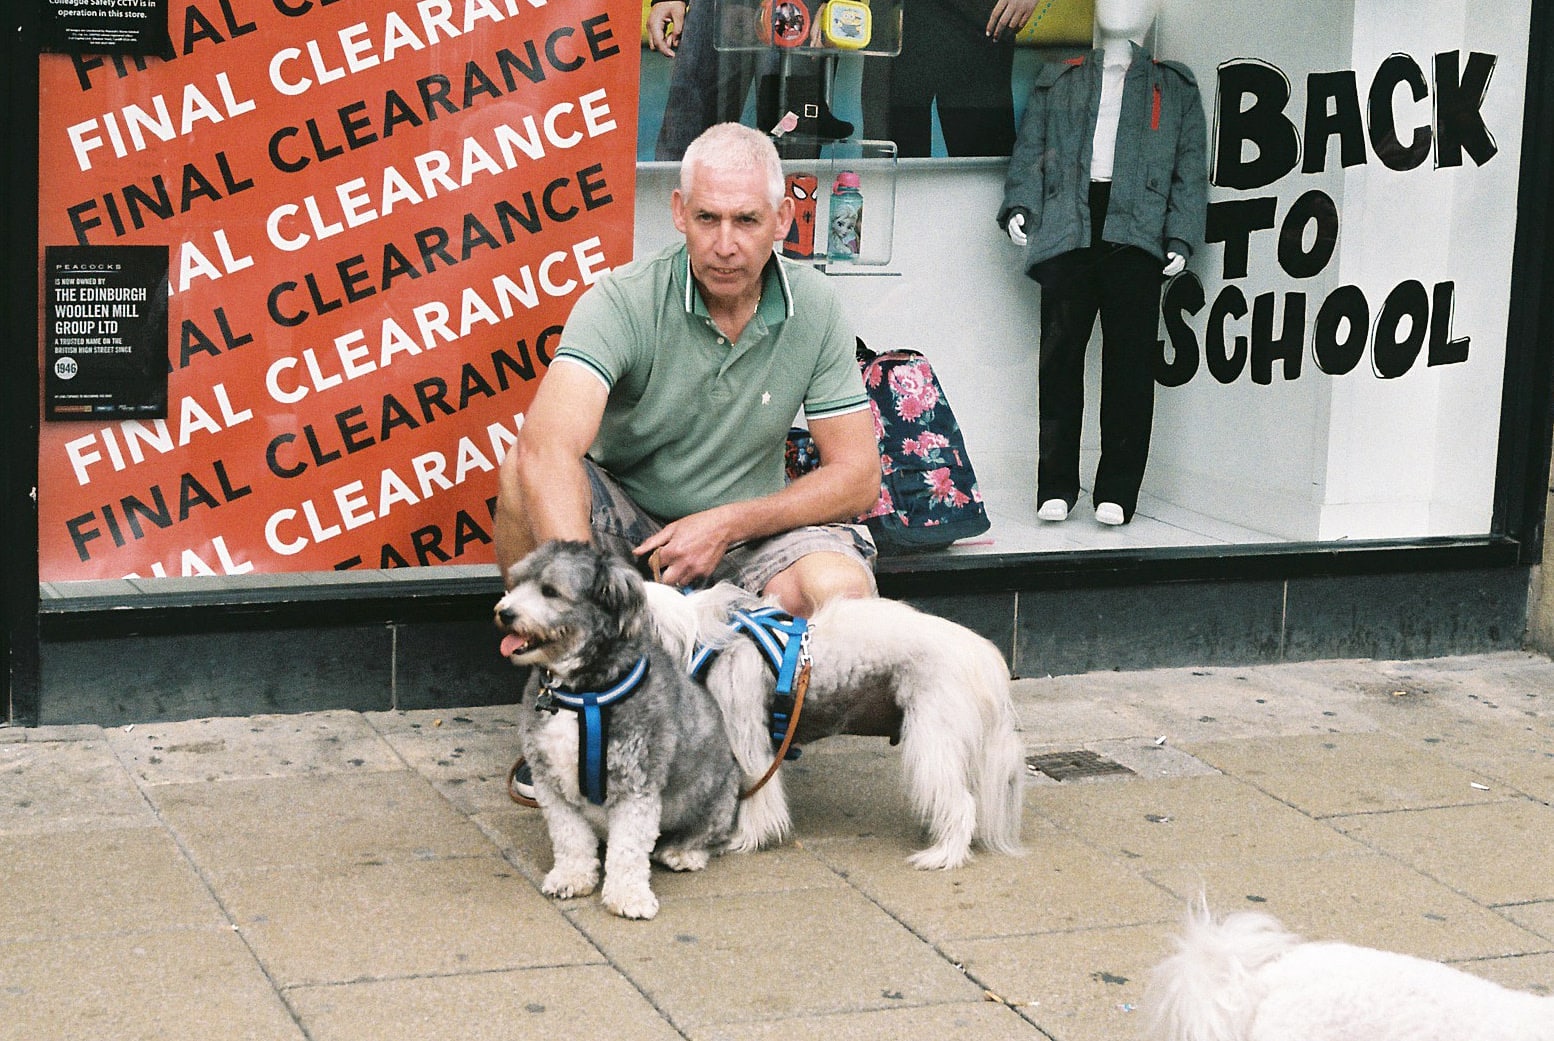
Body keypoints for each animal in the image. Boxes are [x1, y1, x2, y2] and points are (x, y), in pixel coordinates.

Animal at [497, 543, 739, 926]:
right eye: (516, 582)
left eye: (550, 591)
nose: (504, 613)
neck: (583, 693)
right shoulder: (551, 784)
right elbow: (570, 838)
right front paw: (572, 877)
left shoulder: (635, 786)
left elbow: (628, 850)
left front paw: (628, 897)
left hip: (716, 799)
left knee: (708, 836)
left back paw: (684, 852)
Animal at [640, 587, 1019, 870]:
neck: (696, 638)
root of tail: (984, 657)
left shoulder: (747, 740)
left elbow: (756, 793)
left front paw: (740, 839)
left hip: (933, 740)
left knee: (962, 804)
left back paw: (943, 855)